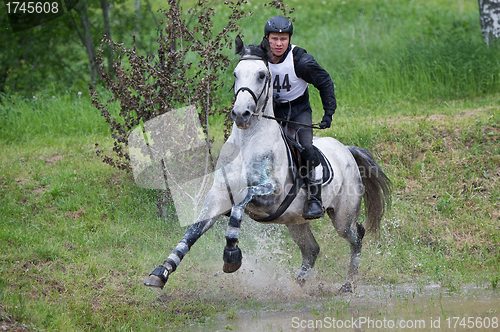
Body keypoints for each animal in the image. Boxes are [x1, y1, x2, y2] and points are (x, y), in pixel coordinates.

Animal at [145, 35, 390, 290]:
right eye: (235, 74)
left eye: (262, 75)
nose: (240, 114)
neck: (247, 142)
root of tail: (347, 150)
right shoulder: (218, 195)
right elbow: (192, 232)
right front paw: (161, 271)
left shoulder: (270, 196)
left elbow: (240, 205)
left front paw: (231, 254)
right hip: (296, 220)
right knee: (311, 249)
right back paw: (299, 283)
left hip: (343, 216)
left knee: (356, 236)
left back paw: (348, 284)